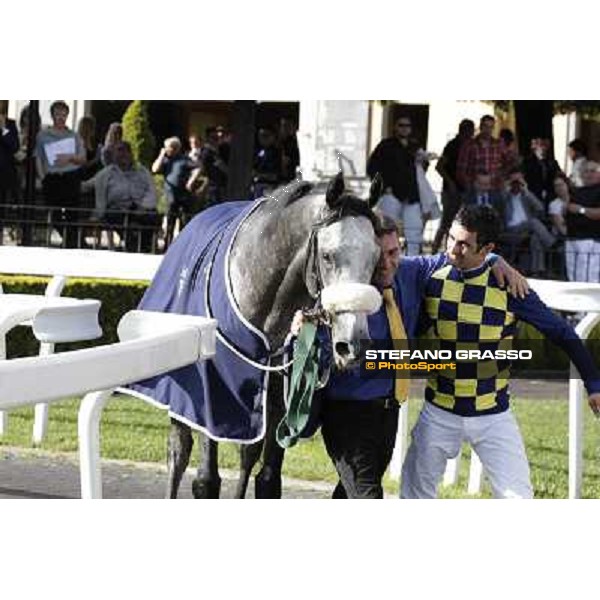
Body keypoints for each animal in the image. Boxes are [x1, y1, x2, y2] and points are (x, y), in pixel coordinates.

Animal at [162, 175, 382, 502]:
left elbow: (263, 473)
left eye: (376, 257)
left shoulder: (280, 396)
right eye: (328, 256)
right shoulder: (214, 392)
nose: (353, 345)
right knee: (178, 451)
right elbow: (207, 480)